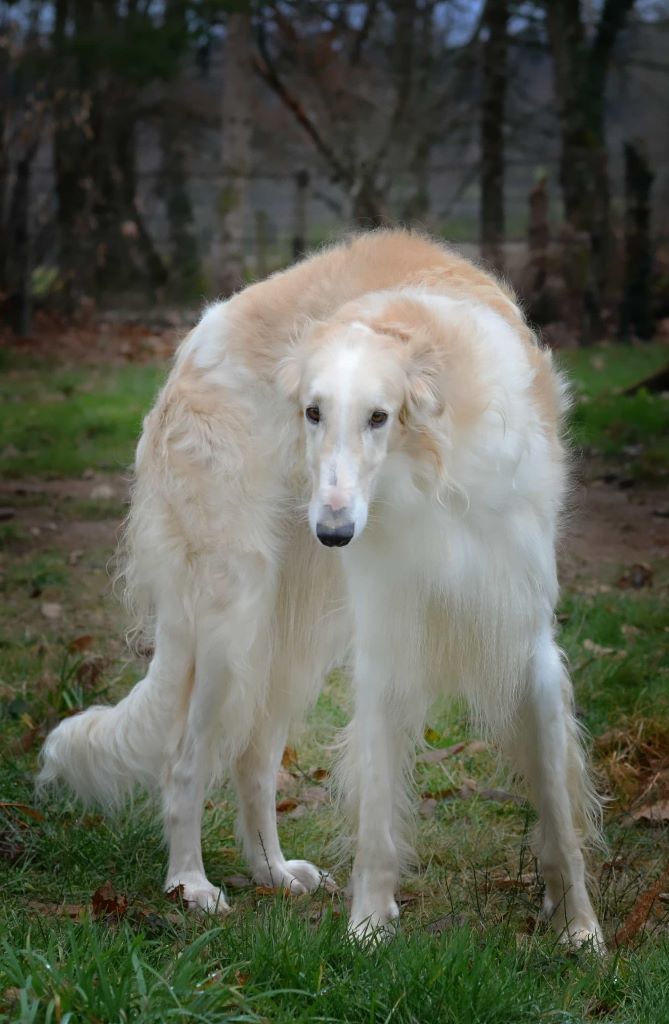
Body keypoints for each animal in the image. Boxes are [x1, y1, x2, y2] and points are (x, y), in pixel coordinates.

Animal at [40, 228, 606, 946]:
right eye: (312, 413)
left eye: (379, 417)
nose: (334, 531)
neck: (436, 479)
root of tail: (189, 350)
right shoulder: (388, 638)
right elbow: (377, 815)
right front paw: (368, 927)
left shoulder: (526, 636)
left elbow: (559, 813)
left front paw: (580, 929)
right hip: (234, 618)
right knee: (185, 759)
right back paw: (189, 883)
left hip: (297, 634)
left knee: (253, 755)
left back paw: (272, 870)